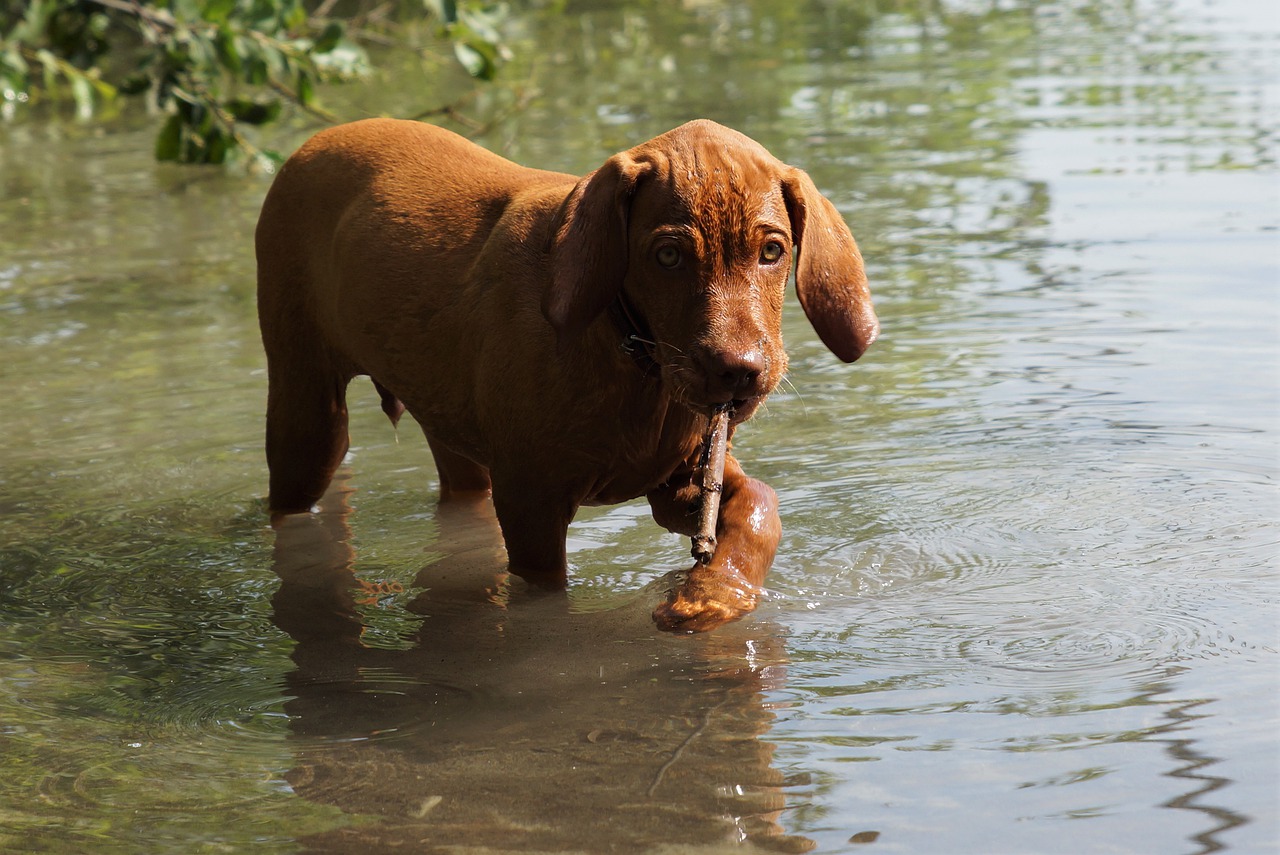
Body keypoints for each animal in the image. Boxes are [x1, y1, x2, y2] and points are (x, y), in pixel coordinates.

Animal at [259, 117, 880, 632]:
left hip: (451, 430)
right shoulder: (531, 502)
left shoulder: (679, 476)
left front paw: (716, 593)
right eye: (669, 256)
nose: (738, 373)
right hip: (306, 410)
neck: (634, 359)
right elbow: (547, 604)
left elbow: (760, 503)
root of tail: (318, 139)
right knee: (292, 500)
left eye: (772, 250)